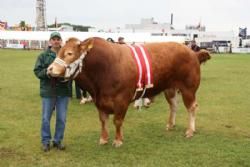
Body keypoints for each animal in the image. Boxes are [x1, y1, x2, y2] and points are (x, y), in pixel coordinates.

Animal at [47, 37, 210, 147]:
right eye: (59, 51)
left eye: (69, 53)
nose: (49, 69)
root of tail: (192, 52)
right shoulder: (100, 101)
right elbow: (103, 120)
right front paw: (103, 139)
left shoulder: (122, 99)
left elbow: (117, 121)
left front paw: (118, 140)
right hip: (170, 88)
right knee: (174, 105)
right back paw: (170, 125)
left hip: (189, 88)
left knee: (192, 107)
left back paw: (190, 131)